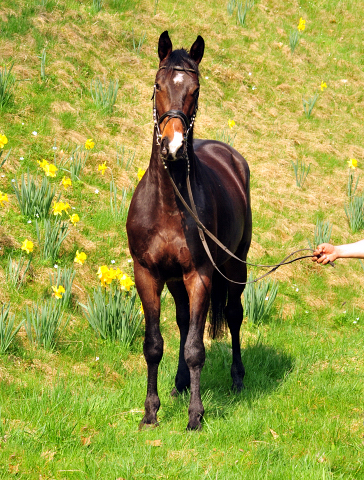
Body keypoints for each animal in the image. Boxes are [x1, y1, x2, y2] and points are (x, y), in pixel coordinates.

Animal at [126, 31, 252, 432]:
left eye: (195, 90)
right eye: (158, 84)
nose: (174, 146)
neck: (170, 202)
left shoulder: (200, 275)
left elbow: (197, 348)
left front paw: (195, 415)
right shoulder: (147, 273)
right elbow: (154, 344)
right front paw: (151, 411)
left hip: (235, 265)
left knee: (233, 315)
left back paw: (237, 378)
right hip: (176, 280)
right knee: (183, 324)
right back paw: (181, 383)